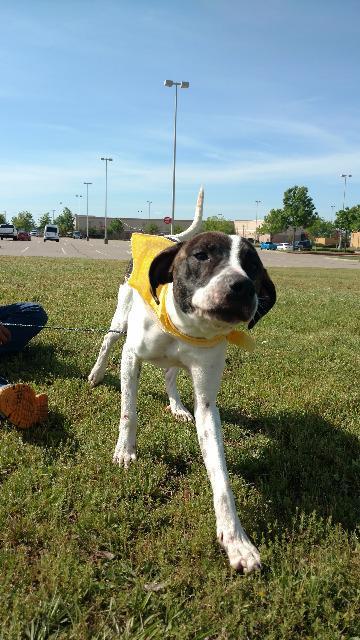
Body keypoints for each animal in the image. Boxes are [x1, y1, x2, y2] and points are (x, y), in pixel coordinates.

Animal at [88, 188, 276, 572]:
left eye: (253, 267)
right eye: (202, 255)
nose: (241, 287)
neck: (185, 327)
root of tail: (173, 238)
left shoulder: (207, 400)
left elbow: (220, 476)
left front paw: (236, 540)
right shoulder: (131, 357)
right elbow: (128, 413)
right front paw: (125, 451)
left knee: (171, 375)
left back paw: (176, 405)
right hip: (120, 318)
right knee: (107, 343)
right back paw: (97, 373)